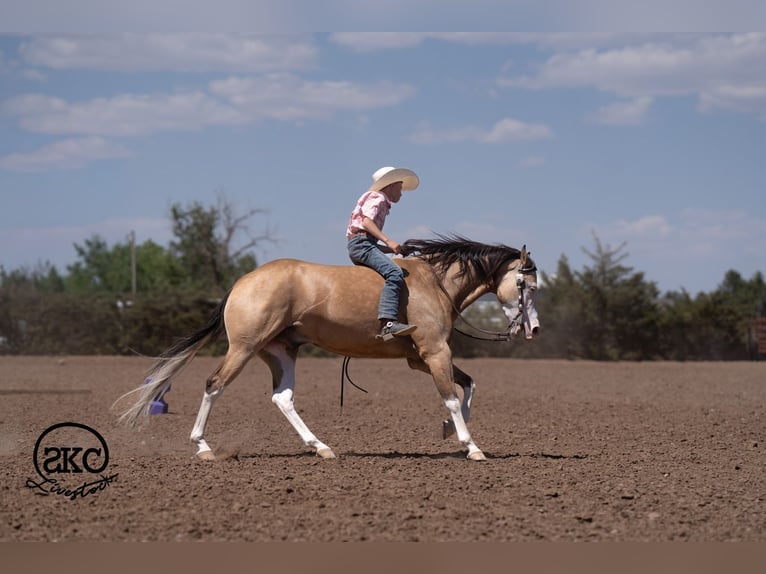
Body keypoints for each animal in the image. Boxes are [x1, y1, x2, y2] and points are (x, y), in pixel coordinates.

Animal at [115, 235, 540, 461]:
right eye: (527, 285)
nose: (533, 328)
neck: (433, 282)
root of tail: (242, 282)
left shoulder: (420, 358)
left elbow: (468, 386)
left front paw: (450, 432)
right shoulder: (435, 352)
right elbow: (452, 396)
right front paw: (471, 446)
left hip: (281, 353)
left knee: (283, 398)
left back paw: (320, 447)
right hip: (244, 349)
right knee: (214, 385)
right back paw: (203, 447)